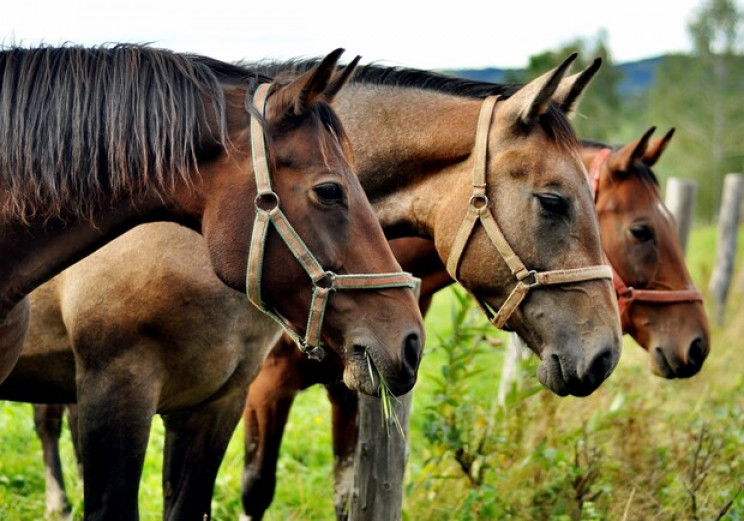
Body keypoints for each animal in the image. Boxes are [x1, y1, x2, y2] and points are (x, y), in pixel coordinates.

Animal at [237, 127, 708, 520]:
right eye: (641, 231)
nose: (698, 343)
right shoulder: (265, 389)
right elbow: (256, 490)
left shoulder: (351, 387)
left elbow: (346, 496)